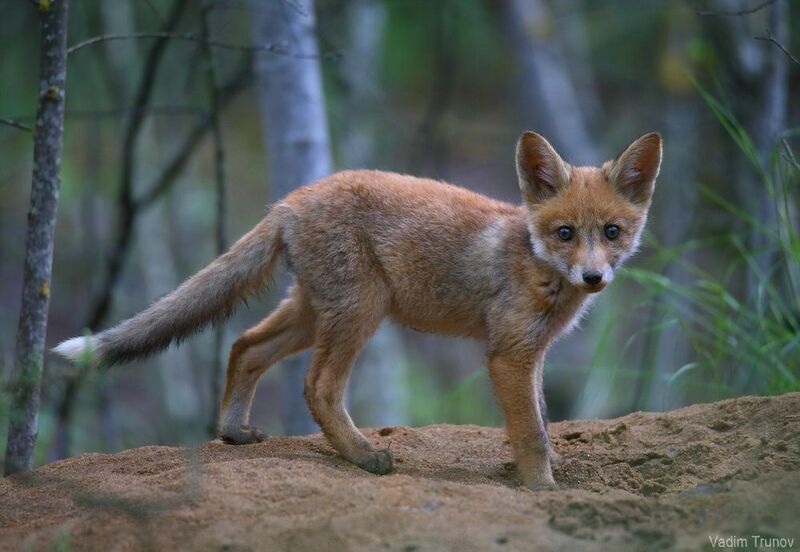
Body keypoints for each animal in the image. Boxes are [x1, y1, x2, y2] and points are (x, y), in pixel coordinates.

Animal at [54, 131, 661, 490]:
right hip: (361, 311)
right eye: (565, 233)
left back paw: (233, 432)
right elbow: (532, 431)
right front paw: (541, 489)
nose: (593, 277)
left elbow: (538, 421)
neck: (532, 259)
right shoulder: (509, 354)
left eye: (612, 232)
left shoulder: (531, 355)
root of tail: (293, 199)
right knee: (317, 386)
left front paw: (537, 469)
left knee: (245, 345)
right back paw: (363, 455)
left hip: (313, 311)